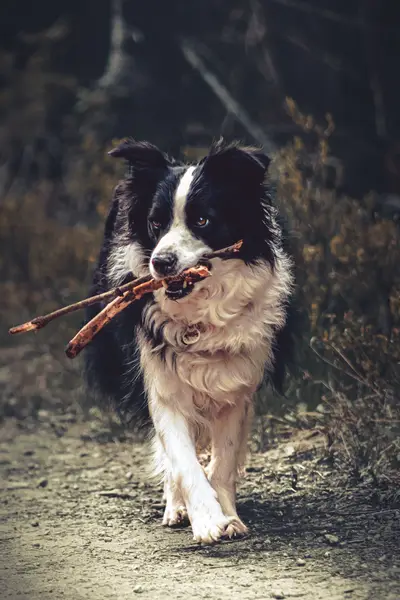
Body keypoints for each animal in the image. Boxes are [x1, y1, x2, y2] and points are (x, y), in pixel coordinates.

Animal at [84, 139, 294, 544]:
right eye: (155, 222)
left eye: (202, 221)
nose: (161, 262)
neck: (200, 313)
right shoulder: (160, 382)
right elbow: (181, 457)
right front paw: (207, 519)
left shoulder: (236, 384)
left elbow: (224, 459)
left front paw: (228, 515)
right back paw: (176, 507)